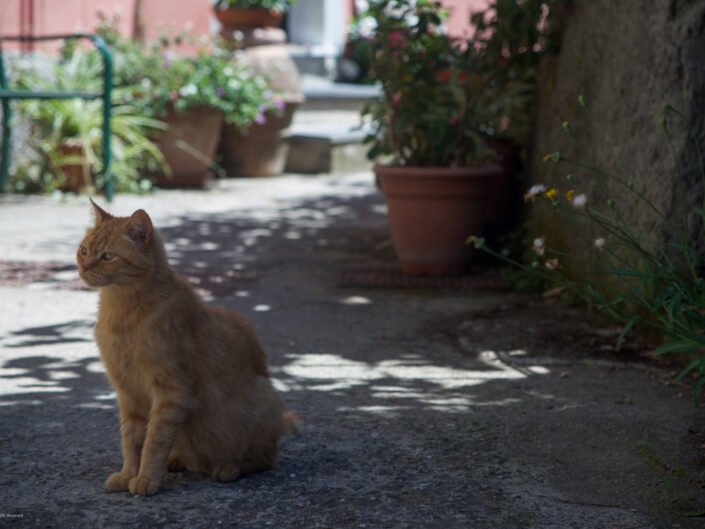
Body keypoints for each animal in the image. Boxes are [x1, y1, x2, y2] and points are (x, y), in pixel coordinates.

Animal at [77, 198, 294, 496]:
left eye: (108, 256)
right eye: (84, 250)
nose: (84, 267)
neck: (122, 313)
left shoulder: (171, 392)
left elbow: (154, 441)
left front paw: (146, 478)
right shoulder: (129, 393)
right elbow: (131, 440)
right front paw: (129, 474)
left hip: (265, 402)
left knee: (265, 458)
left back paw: (228, 467)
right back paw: (178, 461)